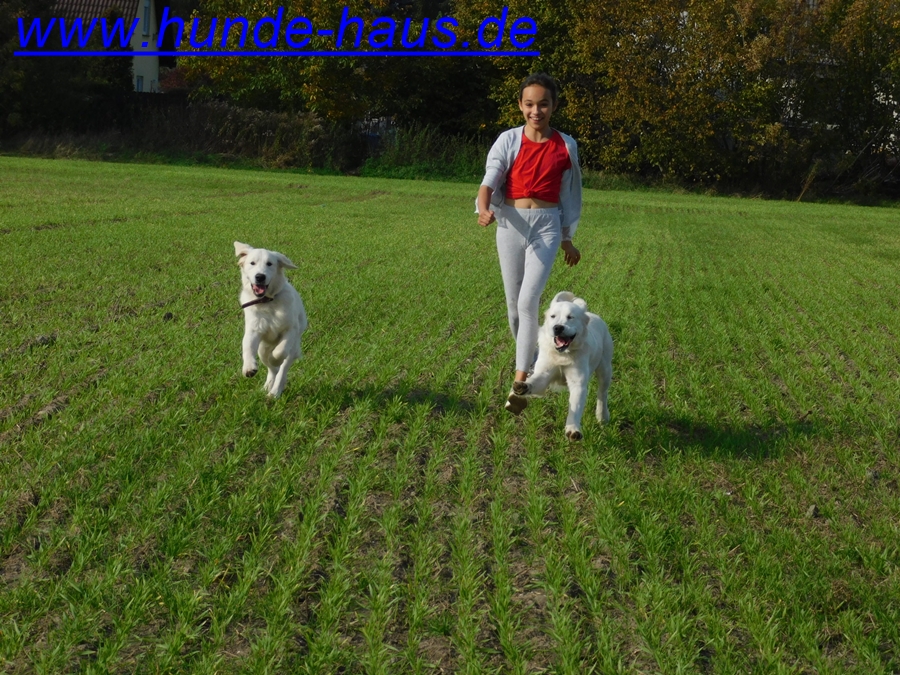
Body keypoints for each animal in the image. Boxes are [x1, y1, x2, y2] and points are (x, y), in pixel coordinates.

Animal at [234, 241, 308, 398]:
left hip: (293, 349)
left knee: (281, 370)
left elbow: (280, 351)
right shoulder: (254, 330)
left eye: (269, 264)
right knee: (272, 370)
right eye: (252, 263)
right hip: (262, 349)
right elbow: (247, 346)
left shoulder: (290, 330)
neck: (267, 302)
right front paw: (249, 368)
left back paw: (274, 392)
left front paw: (275, 359)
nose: (260, 277)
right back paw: (267, 386)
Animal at [511, 291, 613, 440]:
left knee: (602, 394)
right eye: (553, 316)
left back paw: (602, 416)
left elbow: (575, 407)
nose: (558, 327)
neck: (562, 355)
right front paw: (523, 386)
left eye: (570, 317)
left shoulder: (578, 382)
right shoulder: (544, 374)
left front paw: (572, 429)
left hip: (605, 369)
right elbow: (535, 382)